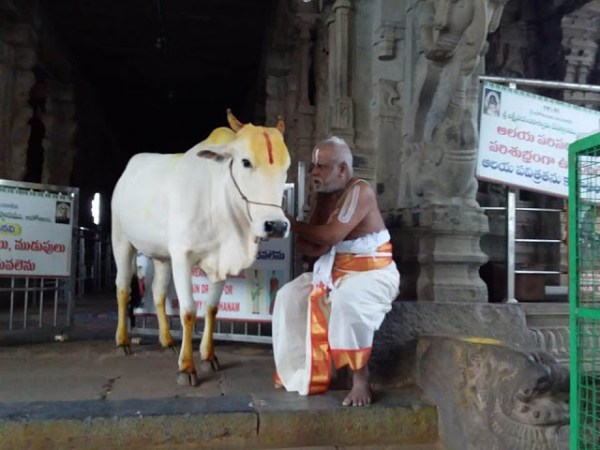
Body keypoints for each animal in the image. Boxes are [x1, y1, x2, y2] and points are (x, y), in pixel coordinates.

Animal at [111, 110, 290, 385]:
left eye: (286, 167)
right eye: (245, 162)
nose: (277, 225)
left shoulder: (220, 261)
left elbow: (212, 309)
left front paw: (208, 356)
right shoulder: (182, 256)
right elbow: (188, 311)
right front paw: (186, 367)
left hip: (162, 256)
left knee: (158, 293)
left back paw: (167, 341)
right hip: (121, 240)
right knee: (122, 288)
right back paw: (122, 342)